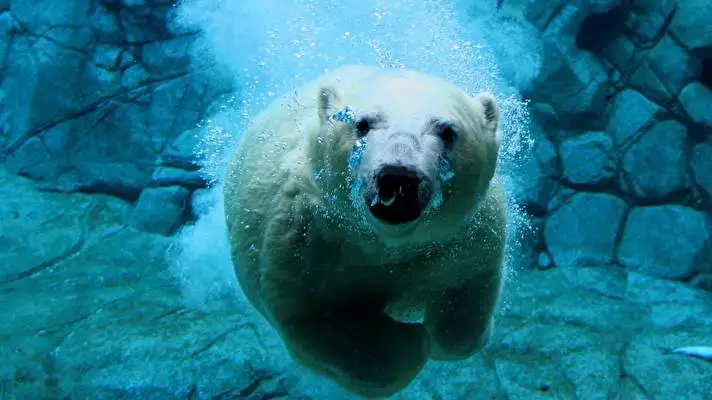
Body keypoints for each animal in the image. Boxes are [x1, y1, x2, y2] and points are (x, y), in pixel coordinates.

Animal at [223, 65, 506, 398]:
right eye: (362, 124)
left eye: (448, 131)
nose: (398, 177)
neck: (385, 242)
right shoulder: (305, 240)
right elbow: (318, 319)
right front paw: (412, 341)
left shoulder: (464, 237)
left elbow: (467, 292)